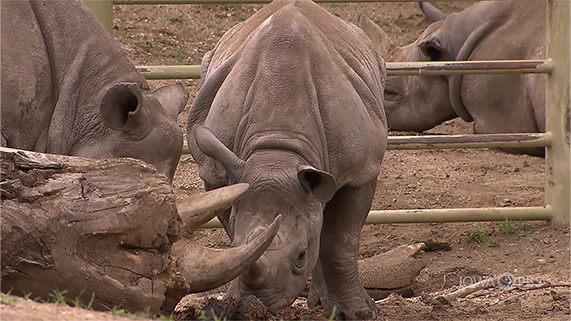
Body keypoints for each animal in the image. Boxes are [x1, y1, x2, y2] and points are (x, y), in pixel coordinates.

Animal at [188, 0, 388, 316]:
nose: (263, 303)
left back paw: (324, 304)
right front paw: (235, 302)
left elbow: (340, 242)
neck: (278, 150)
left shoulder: (362, 168)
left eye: (301, 255)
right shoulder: (219, 173)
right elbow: (236, 235)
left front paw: (357, 313)